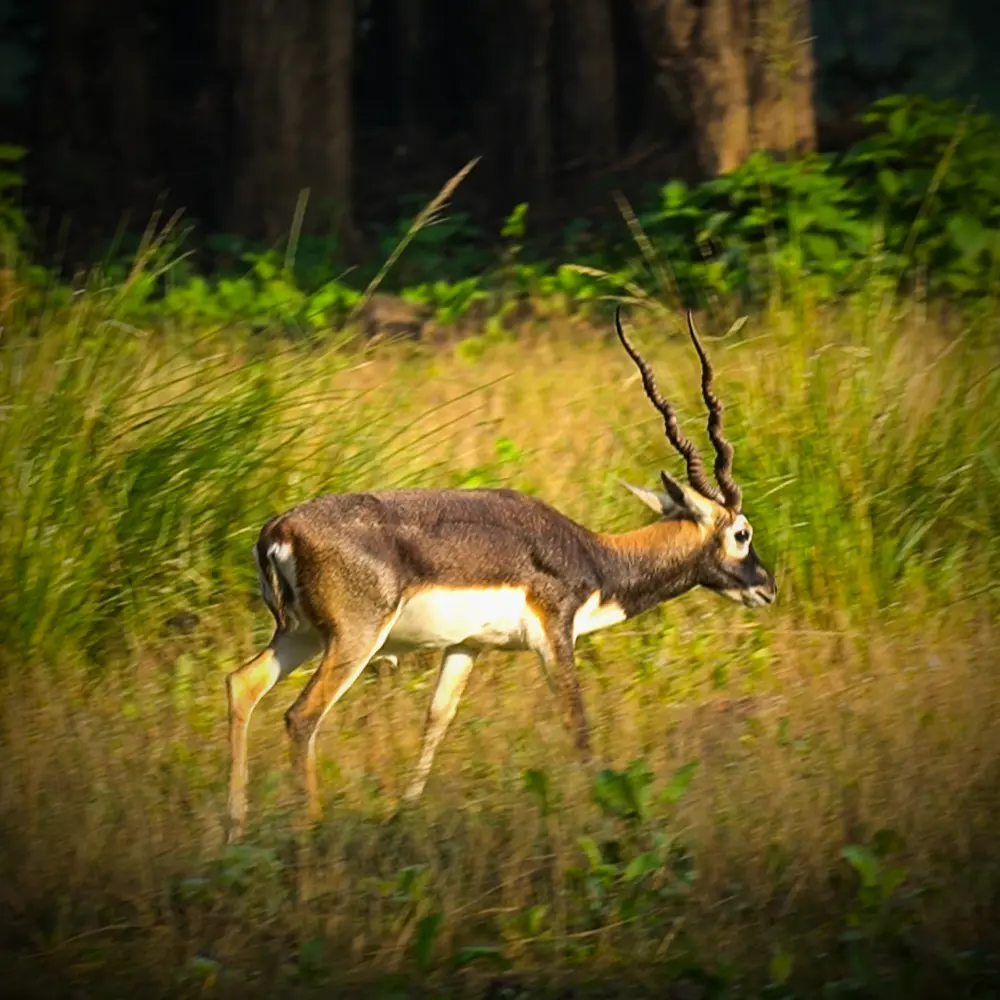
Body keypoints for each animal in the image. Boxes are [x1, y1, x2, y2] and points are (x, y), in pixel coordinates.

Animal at [225, 308, 776, 841]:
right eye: (742, 533)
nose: (767, 587)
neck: (594, 556)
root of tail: (279, 529)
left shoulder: (466, 646)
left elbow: (437, 719)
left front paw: (404, 813)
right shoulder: (555, 637)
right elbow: (577, 723)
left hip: (301, 635)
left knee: (242, 684)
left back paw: (236, 831)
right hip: (354, 640)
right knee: (301, 717)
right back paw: (309, 829)